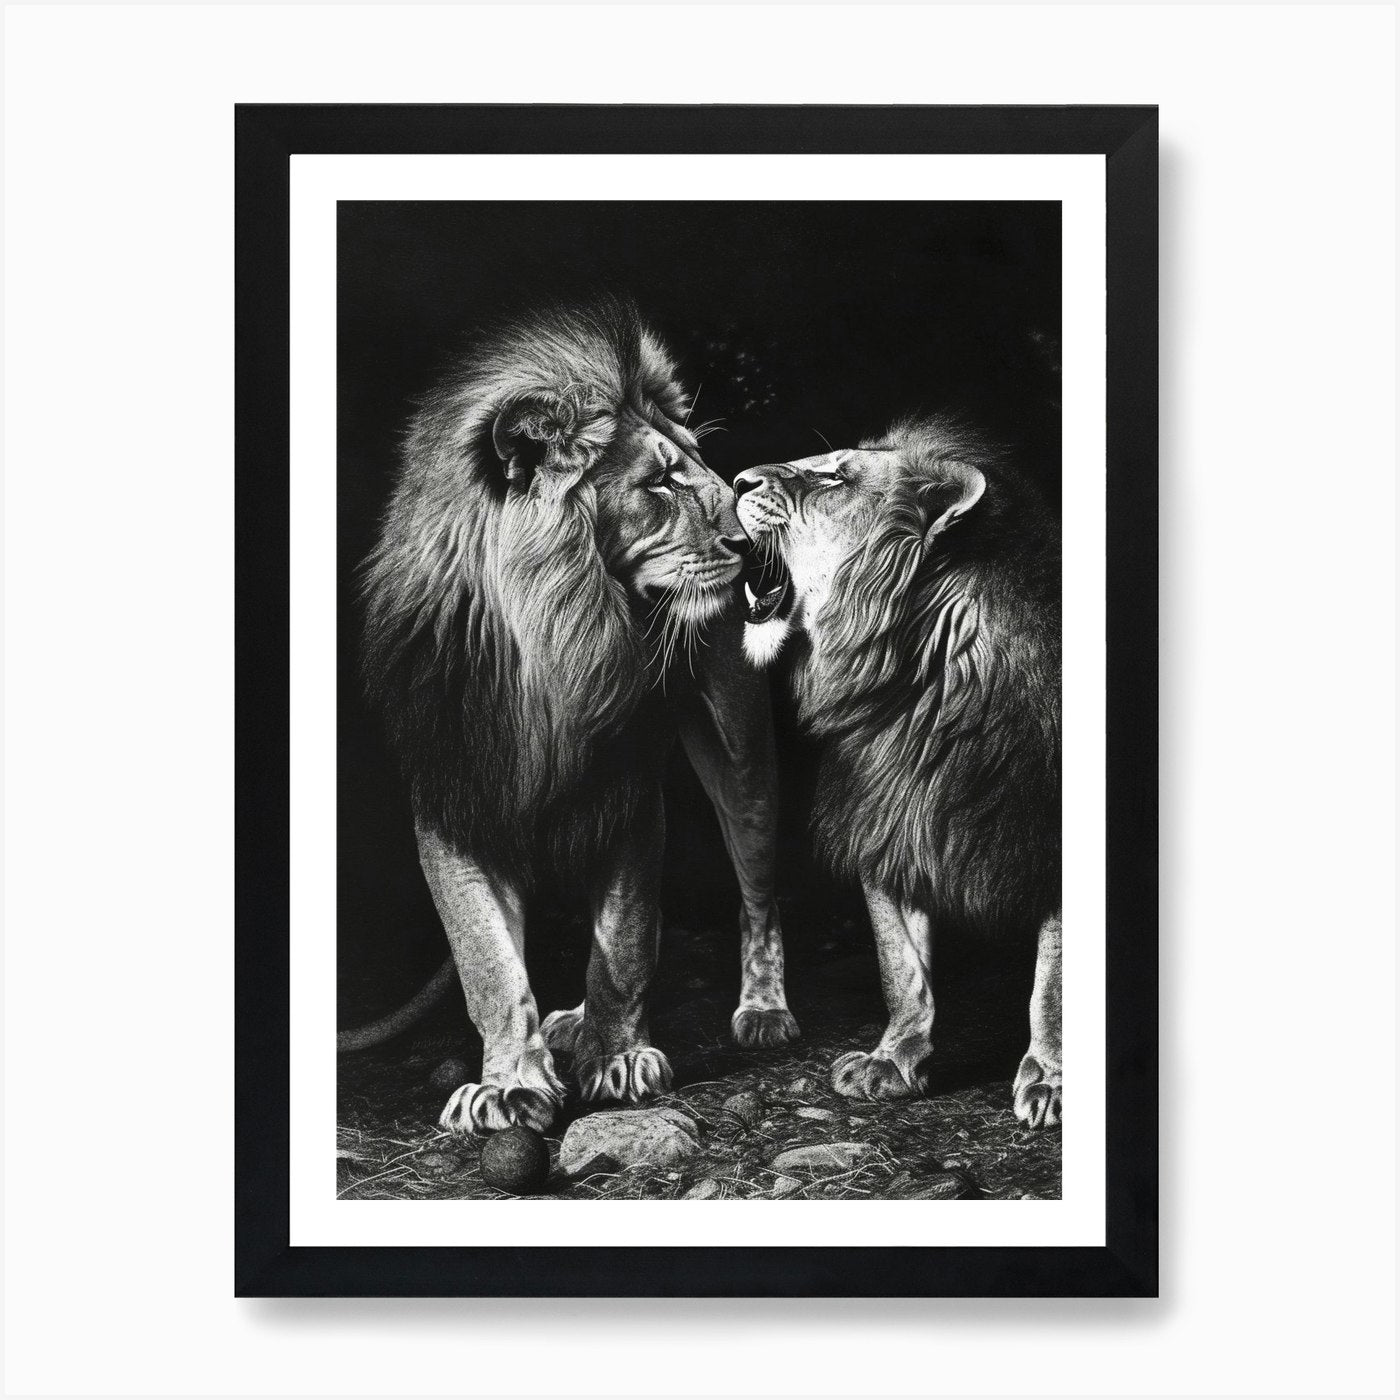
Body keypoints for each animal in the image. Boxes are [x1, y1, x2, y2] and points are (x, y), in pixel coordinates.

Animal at [341, 301, 799, 1136]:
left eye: (698, 467)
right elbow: (490, 965)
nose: (749, 545)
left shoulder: (629, 796)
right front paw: (508, 1084)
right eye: (659, 481)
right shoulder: (454, 798)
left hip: (742, 754)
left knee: (757, 890)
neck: (554, 648)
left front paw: (618, 1059)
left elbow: (623, 943)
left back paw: (763, 1010)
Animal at [735, 416, 1061, 1129]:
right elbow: (900, 963)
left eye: (834, 477)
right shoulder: (890, 820)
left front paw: (1050, 1078)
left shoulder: (1041, 831)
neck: (916, 685)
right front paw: (894, 1061)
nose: (738, 480)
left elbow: (1053, 978)